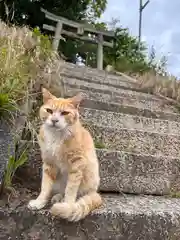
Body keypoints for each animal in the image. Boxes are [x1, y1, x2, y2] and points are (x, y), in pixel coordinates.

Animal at [27, 87, 102, 221]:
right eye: (49, 110)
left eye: (65, 113)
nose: (54, 120)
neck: (56, 136)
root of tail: (96, 193)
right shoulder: (49, 164)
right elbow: (45, 187)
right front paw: (39, 202)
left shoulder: (77, 165)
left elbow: (71, 189)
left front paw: (68, 207)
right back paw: (57, 197)